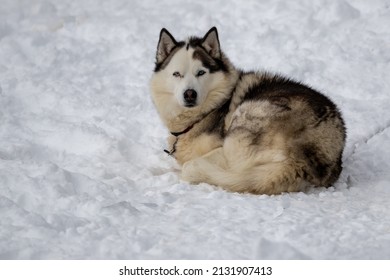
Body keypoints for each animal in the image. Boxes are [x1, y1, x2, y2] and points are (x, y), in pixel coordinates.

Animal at [151, 27, 346, 195]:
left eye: (201, 72)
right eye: (177, 74)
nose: (190, 94)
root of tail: (299, 162)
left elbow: (192, 162)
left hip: (244, 120)